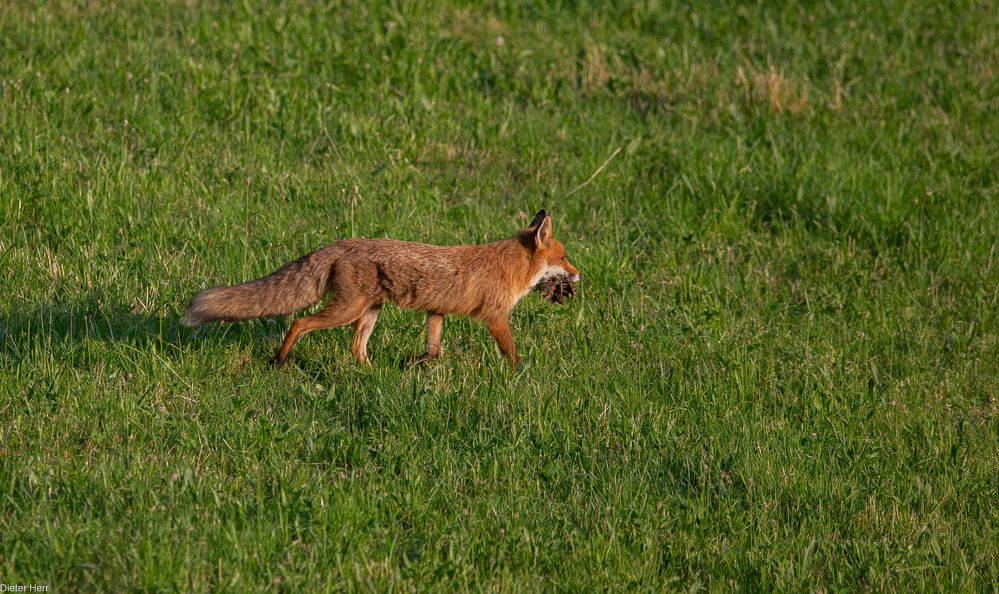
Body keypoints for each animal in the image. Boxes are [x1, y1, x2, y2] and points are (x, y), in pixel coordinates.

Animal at [184, 208, 584, 366]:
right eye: (564, 257)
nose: (579, 275)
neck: (510, 266)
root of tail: (341, 244)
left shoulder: (436, 312)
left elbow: (433, 350)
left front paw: (414, 365)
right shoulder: (495, 316)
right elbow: (512, 353)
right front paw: (520, 373)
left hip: (368, 313)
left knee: (355, 350)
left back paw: (373, 374)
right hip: (346, 310)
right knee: (300, 322)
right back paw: (279, 360)